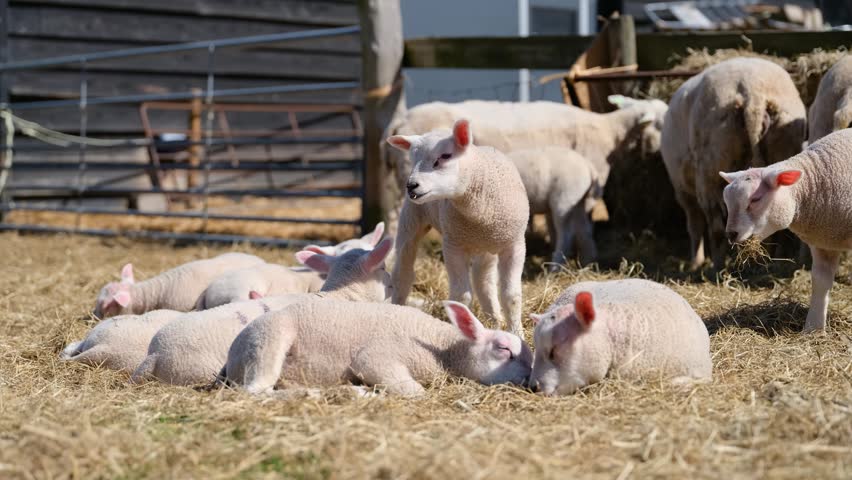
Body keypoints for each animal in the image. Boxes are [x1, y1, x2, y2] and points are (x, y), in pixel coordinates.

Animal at [221, 299, 532, 397]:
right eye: (504, 349)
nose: (530, 380)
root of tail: (233, 355)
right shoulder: (375, 360)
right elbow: (415, 392)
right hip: (269, 340)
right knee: (255, 391)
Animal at [384, 96, 667, 236]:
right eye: (661, 123)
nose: (661, 151)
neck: (610, 131)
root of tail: (401, 120)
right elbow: (578, 225)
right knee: (395, 216)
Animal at [386, 119, 529, 337]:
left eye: (445, 156)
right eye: (412, 159)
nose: (411, 186)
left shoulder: (514, 245)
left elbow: (511, 295)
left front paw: (517, 334)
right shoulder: (453, 245)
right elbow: (461, 296)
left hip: (484, 247)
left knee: (483, 282)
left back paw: (494, 322)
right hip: (411, 219)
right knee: (403, 273)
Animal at [662, 57, 806, 269]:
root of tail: (752, 93)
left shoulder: (683, 190)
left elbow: (694, 225)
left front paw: (696, 262)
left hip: (710, 169)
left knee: (715, 226)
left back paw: (717, 266)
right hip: (784, 144)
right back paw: (771, 263)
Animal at [721, 128, 852, 332]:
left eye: (755, 199)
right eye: (727, 202)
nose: (731, 234)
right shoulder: (824, 241)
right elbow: (820, 281)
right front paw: (813, 329)